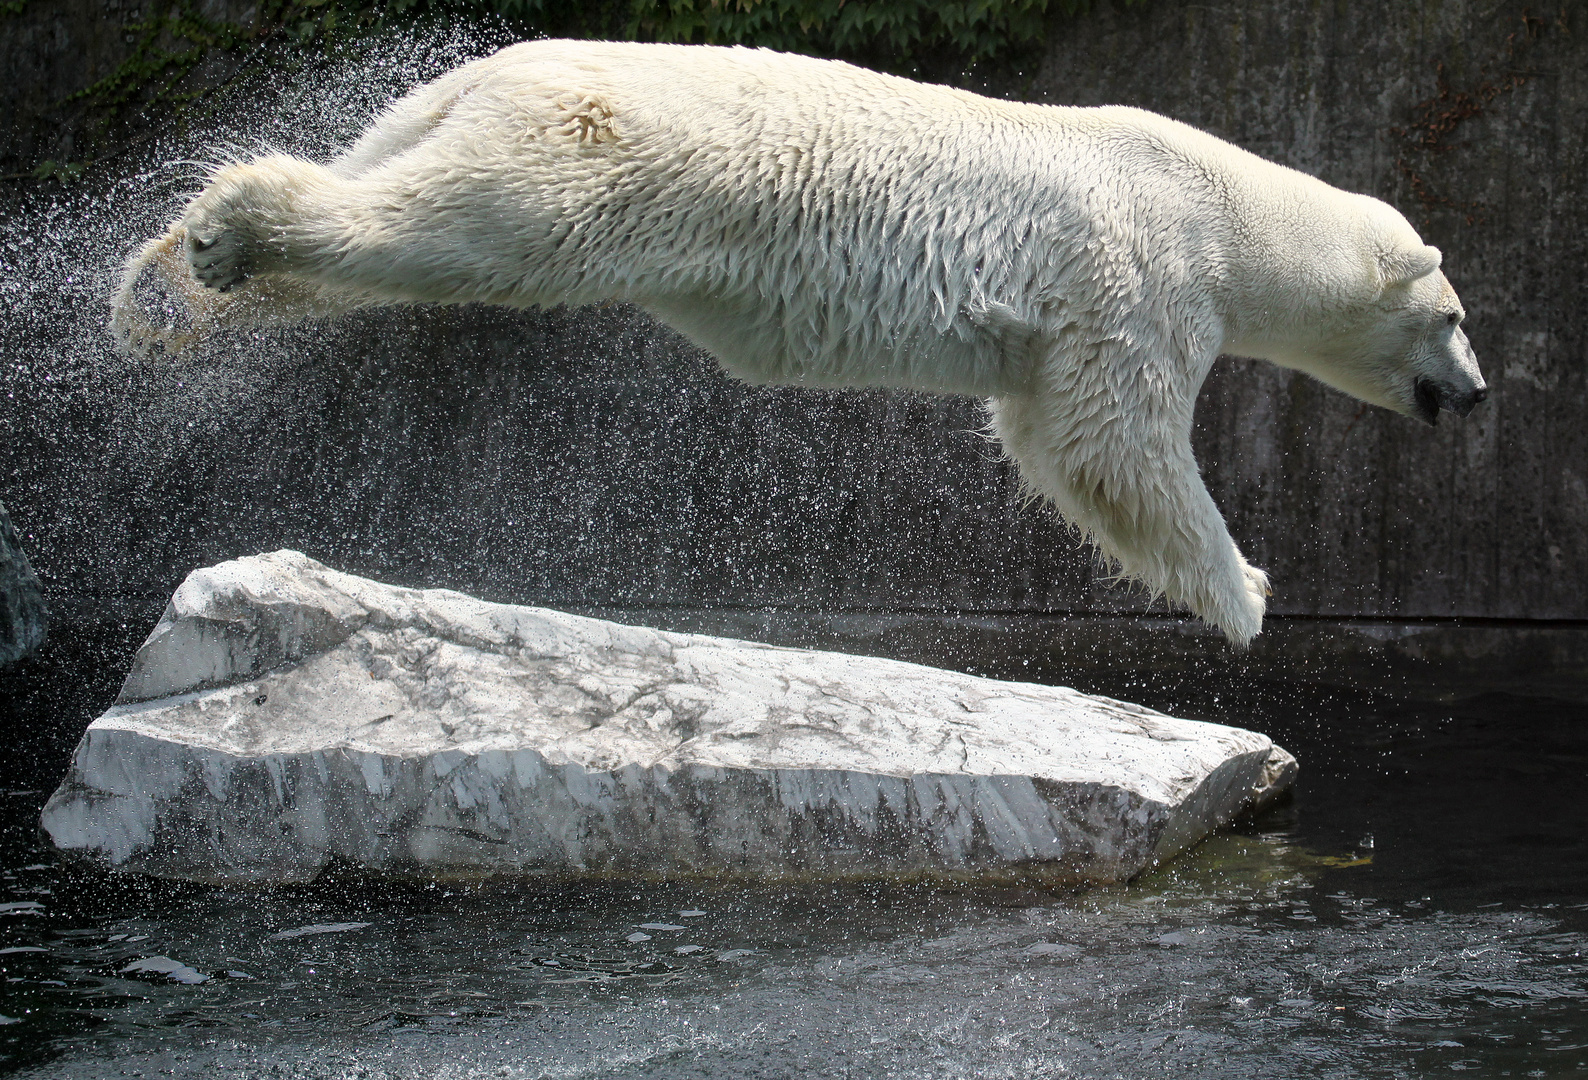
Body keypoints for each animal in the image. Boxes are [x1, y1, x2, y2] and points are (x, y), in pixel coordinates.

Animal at [111, 40, 1486, 651]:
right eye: (1455, 317)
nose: (1475, 396)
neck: (1220, 205)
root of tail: (497, 62)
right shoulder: (1136, 274)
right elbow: (1108, 438)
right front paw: (1245, 594)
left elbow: (1050, 432)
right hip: (595, 157)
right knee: (462, 228)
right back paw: (226, 238)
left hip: (436, 120)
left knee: (381, 202)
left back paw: (171, 284)